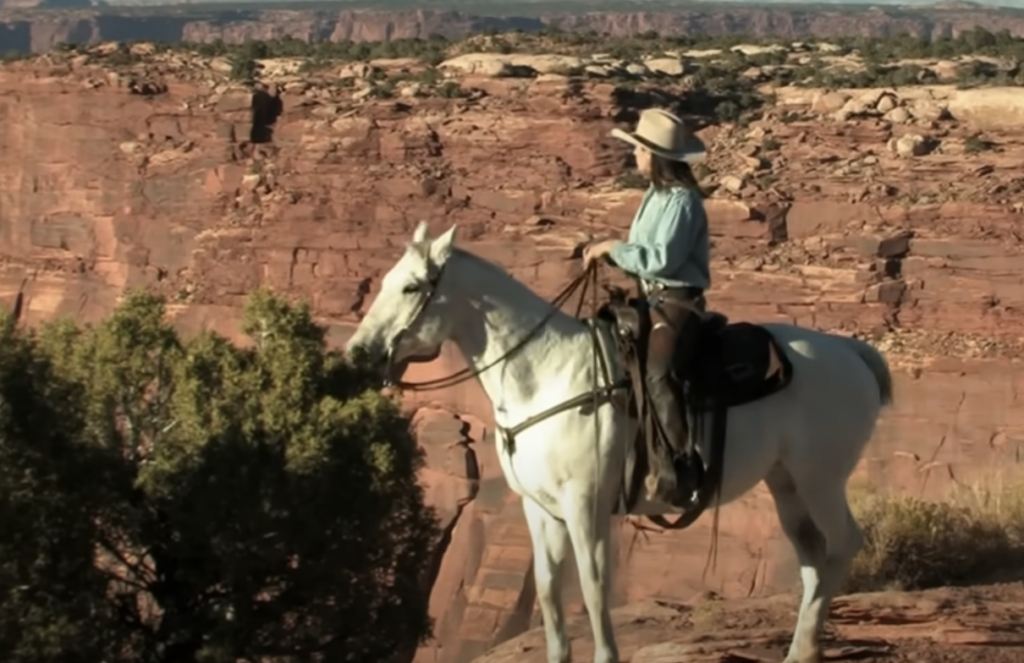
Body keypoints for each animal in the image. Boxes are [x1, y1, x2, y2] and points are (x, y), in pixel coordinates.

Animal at [346, 223, 897, 663]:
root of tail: (851, 351)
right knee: (812, 557)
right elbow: (548, 590)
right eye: (385, 281)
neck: (546, 373)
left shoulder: (585, 504)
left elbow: (592, 588)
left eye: (411, 286)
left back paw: (803, 648)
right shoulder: (538, 508)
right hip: (785, 485)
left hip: (821, 479)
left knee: (842, 544)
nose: (357, 352)